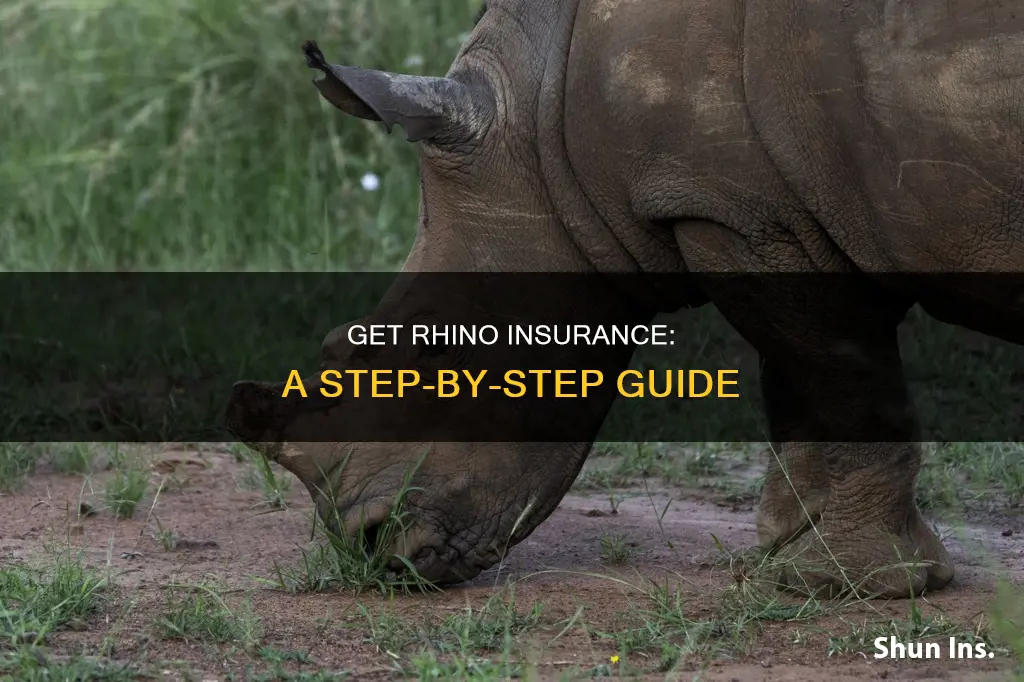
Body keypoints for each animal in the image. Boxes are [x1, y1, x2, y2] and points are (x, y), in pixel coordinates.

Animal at [226, 0, 1024, 599]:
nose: (368, 551)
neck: (540, 132)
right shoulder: (759, 211)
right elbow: (797, 378)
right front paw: (784, 549)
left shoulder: (736, 210)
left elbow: (844, 383)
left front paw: (848, 584)